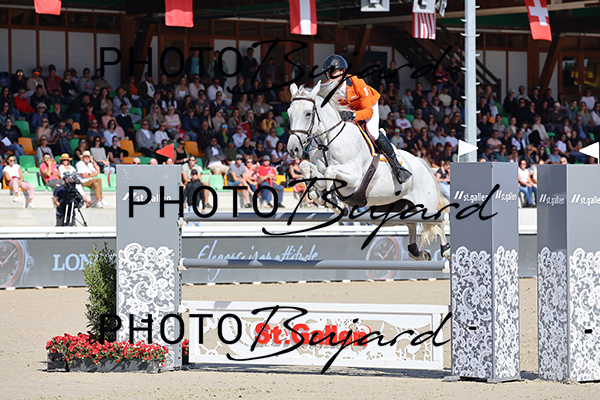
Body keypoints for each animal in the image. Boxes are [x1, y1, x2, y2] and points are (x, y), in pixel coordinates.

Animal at [286, 81, 450, 261]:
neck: (327, 141)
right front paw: (319, 196)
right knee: (411, 223)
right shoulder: (321, 170)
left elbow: (330, 171)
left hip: (426, 206)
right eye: (289, 113)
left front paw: (332, 200)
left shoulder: (354, 178)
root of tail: (422, 164)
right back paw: (419, 253)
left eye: (308, 113)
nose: (293, 149)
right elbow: (307, 167)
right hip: (389, 212)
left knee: (439, 222)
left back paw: (446, 251)